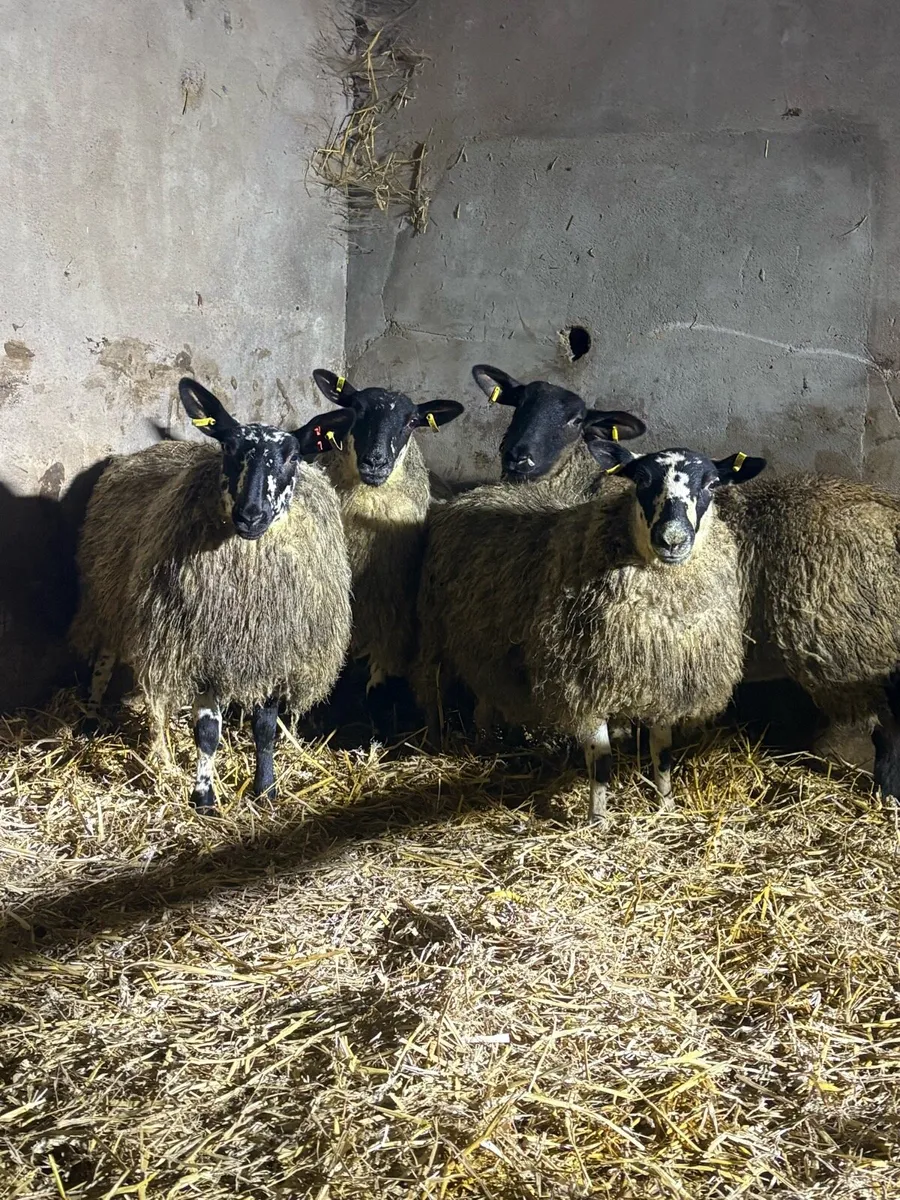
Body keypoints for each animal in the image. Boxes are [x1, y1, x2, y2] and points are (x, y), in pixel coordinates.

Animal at [70, 378, 354, 811]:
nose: (251, 515)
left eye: (291, 456)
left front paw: (266, 788)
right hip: (113, 601)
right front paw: (203, 797)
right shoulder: (203, 648)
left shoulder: (271, 651)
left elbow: (265, 727)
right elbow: (207, 731)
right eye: (230, 448)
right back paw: (95, 723)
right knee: (106, 664)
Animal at [414, 446, 766, 819]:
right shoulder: (584, 683)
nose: (672, 539)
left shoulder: (662, 683)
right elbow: (602, 762)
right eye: (642, 479)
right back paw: (443, 741)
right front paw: (597, 819)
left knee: (488, 694)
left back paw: (493, 741)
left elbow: (663, 752)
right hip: (434, 632)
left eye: (712, 484)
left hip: (487, 644)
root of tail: (476, 492)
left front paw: (666, 805)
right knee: (435, 691)